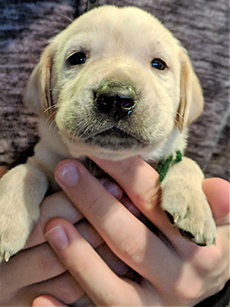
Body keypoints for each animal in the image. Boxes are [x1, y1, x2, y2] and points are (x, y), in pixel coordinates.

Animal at [0, 5, 217, 262]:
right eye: (77, 58)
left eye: (158, 64)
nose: (116, 99)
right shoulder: (46, 158)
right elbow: (25, 171)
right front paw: (6, 219)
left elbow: (187, 163)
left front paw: (195, 209)